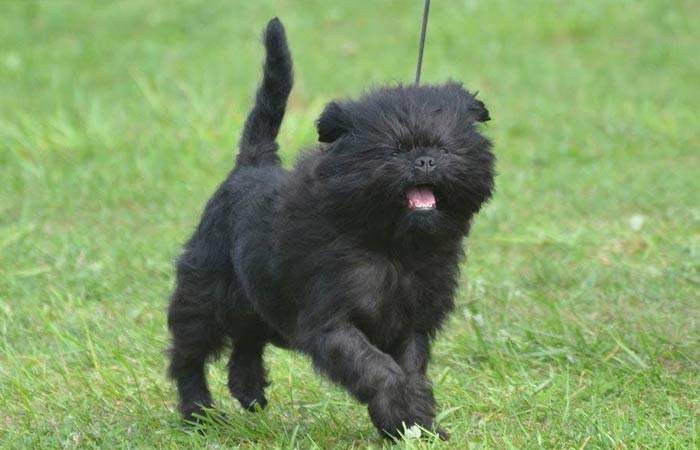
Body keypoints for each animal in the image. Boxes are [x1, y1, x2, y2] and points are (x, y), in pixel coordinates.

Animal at [167, 18, 494, 440]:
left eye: (444, 148)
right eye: (393, 150)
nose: (424, 160)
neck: (393, 245)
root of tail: (251, 164)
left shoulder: (412, 324)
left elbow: (410, 370)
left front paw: (415, 424)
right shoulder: (332, 323)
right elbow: (379, 369)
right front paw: (405, 412)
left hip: (256, 299)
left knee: (247, 338)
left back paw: (248, 389)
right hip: (204, 293)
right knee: (189, 355)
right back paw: (199, 414)